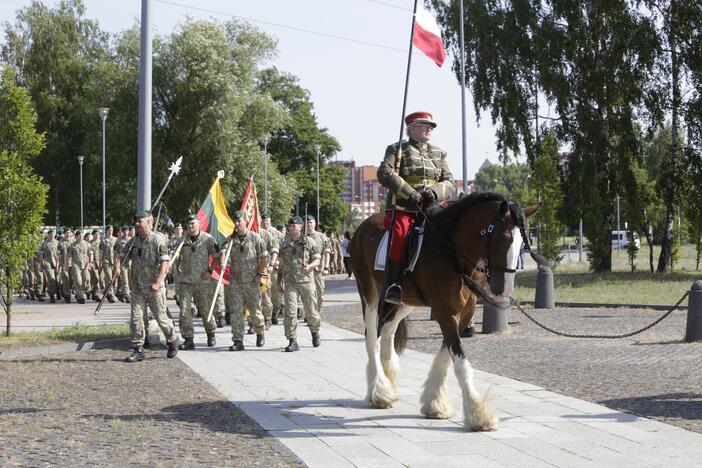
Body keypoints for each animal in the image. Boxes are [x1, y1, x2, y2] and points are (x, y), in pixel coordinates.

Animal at [350, 193, 540, 432]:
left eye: (522, 243)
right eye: (504, 237)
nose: (504, 289)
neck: (452, 253)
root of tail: (362, 226)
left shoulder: (463, 314)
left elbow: (445, 357)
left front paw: (434, 403)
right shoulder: (445, 313)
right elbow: (461, 364)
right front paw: (478, 414)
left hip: (404, 302)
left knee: (387, 332)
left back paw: (387, 382)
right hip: (370, 294)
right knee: (371, 339)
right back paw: (378, 391)